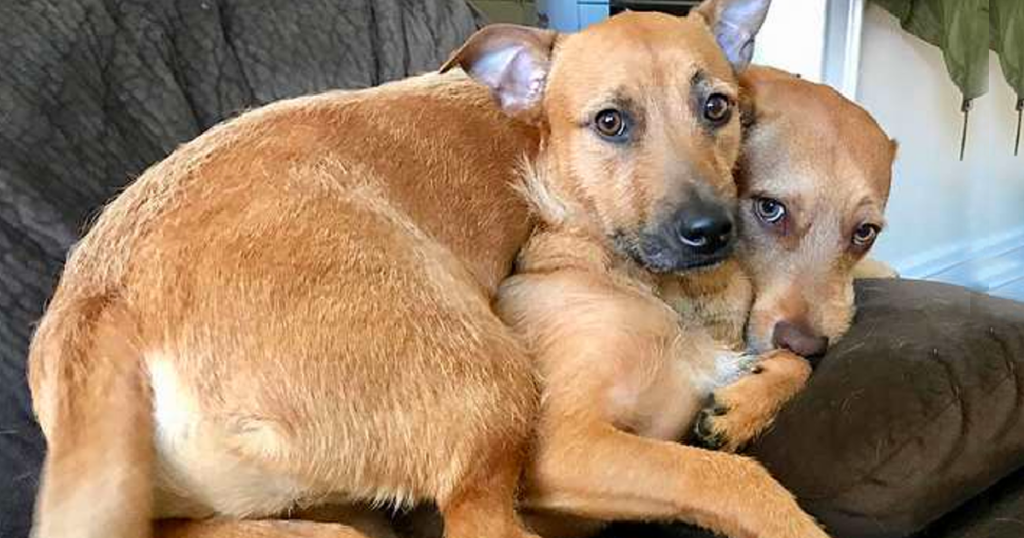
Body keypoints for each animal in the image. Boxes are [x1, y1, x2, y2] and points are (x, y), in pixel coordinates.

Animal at [25, 1, 806, 536]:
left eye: (717, 107)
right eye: (611, 122)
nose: (712, 233)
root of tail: (101, 302)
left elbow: (791, 358)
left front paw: (743, 405)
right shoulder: (566, 443)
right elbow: (729, 479)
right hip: (489, 383)